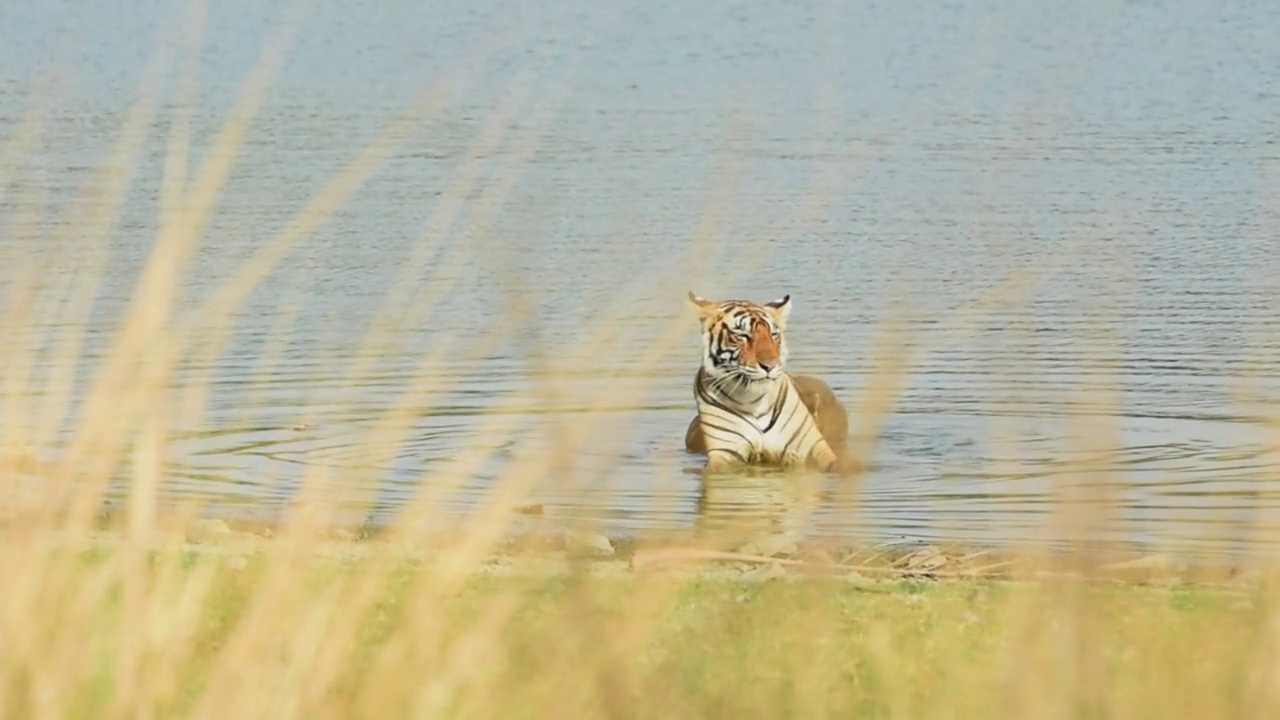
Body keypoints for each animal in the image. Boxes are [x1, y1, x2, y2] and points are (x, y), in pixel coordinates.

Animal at [686, 288, 865, 474]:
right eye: (742, 336)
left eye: (773, 335)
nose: (770, 365)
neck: (753, 402)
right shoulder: (725, 454)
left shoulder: (813, 449)